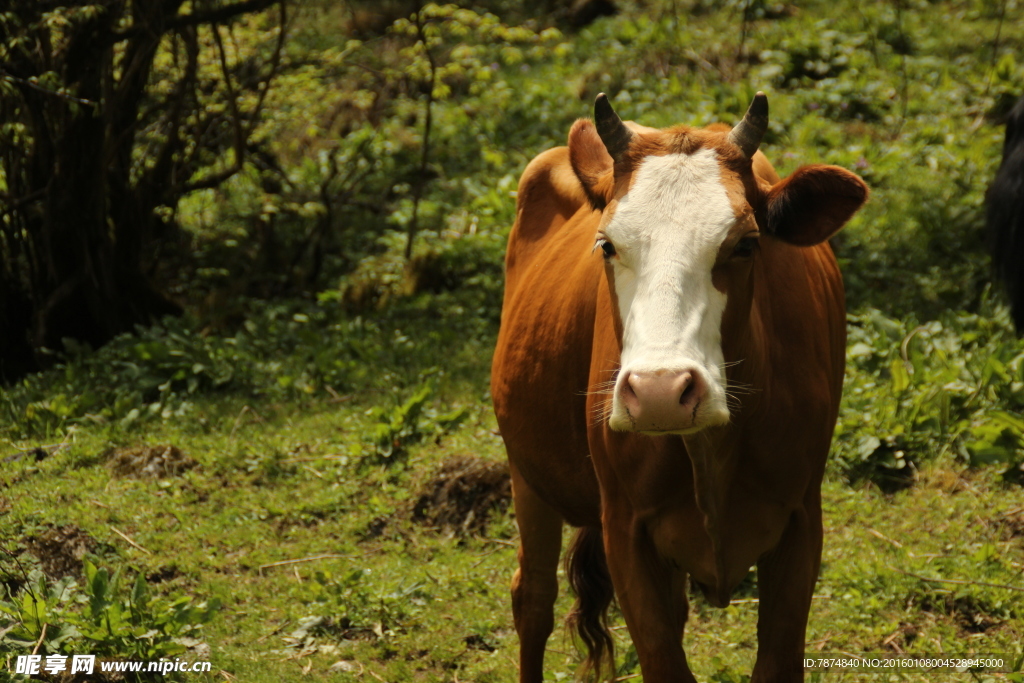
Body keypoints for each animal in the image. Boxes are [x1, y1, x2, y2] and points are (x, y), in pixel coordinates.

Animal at [491, 92, 868, 683]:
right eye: (607, 244)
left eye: (745, 244)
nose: (660, 392)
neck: (712, 449)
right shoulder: (624, 529)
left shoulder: (803, 521)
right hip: (527, 474)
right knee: (532, 598)